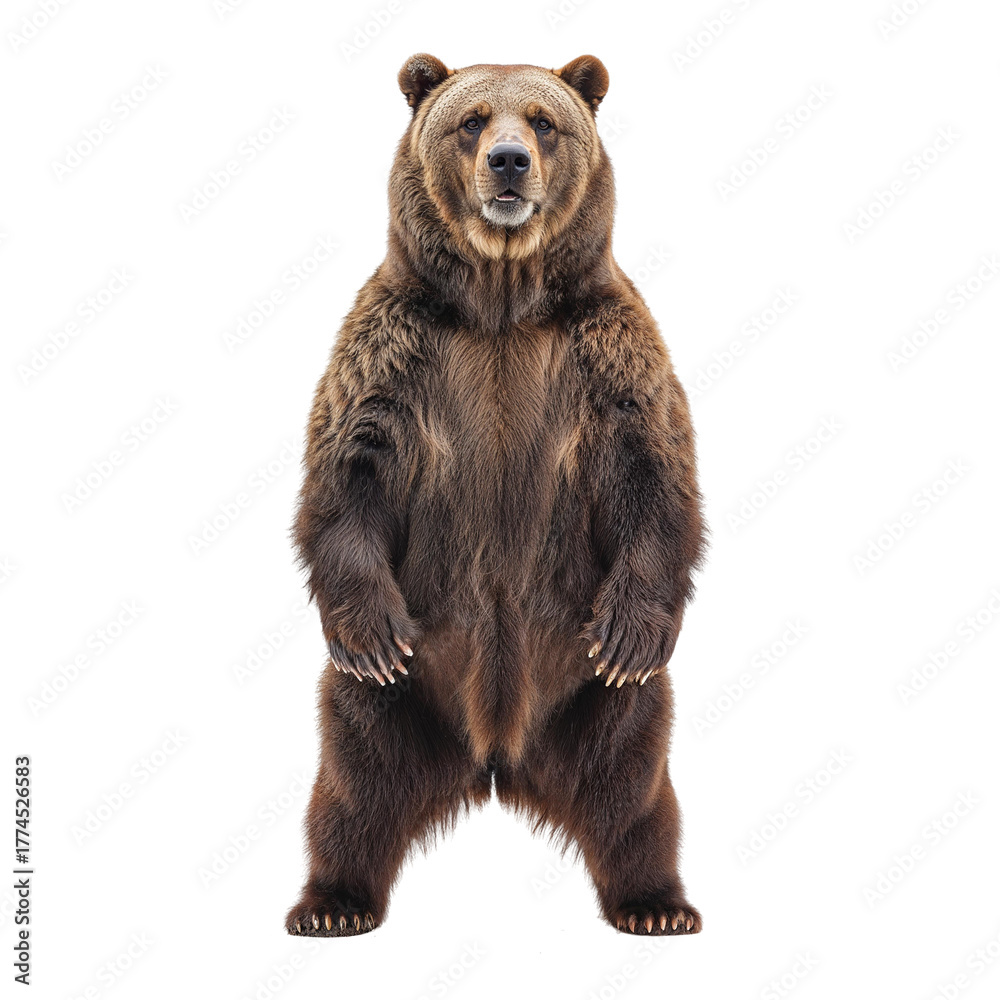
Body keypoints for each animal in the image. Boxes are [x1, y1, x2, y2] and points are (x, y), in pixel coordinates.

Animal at [285, 53, 705, 938]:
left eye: (543, 122)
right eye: (472, 119)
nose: (508, 163)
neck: (502, 302)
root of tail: (496, 760)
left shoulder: (609, 353)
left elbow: (655, 475)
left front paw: (631, 632)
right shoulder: (393, 351)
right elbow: (347, 474)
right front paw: (373, 631)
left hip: (593, 697)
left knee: (631, 778)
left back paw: (656, 903)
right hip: (398, 698)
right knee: (354, 775)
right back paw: (331, 902)